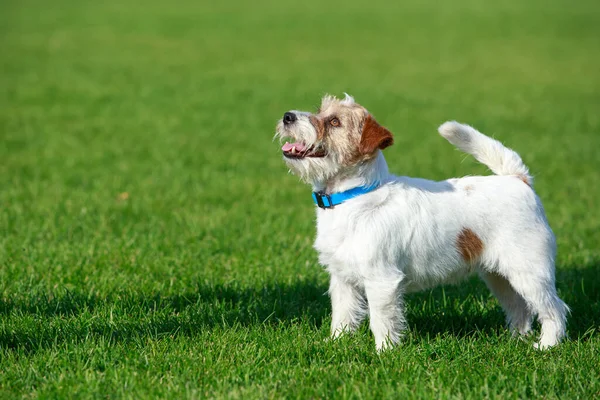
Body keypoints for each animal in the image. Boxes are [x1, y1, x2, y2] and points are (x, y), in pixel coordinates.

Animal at [274, 94, 568, 350]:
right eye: (320, 110)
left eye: (334, 122)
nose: (288, 116)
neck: (354, 197)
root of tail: (518, 179)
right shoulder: (342, 280)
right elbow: (342, 315)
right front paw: (336, 343)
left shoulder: (382, 280)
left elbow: (381, 319)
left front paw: (384, 352)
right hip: (499, 277)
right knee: (520, 308)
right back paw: (516, 340)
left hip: (529, 273)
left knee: (553, 308)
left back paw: (547, 345)